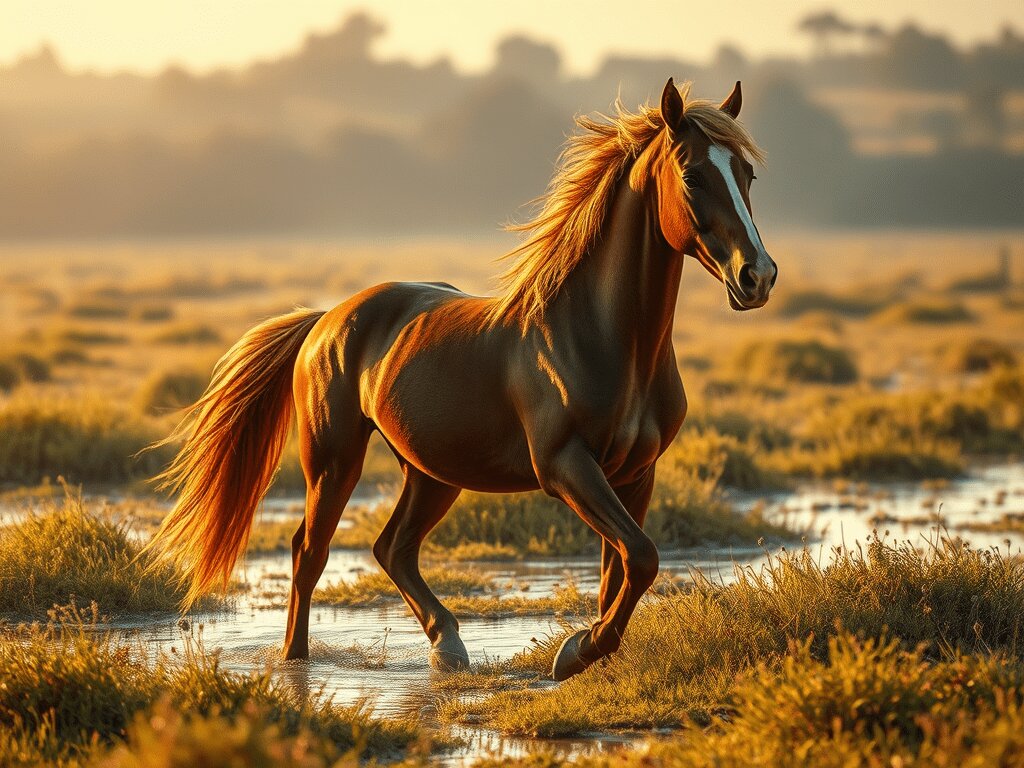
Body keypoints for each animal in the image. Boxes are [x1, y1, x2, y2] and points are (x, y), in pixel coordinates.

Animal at [147, 78, 777, 682]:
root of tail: (325, 320)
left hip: (431, 472)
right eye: (692, 173)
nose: (758, 277)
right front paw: (575, 654)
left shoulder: (635, 474)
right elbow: (641, 558)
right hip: (334, 459)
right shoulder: (566, 467)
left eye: (747, 174)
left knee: (393, 548)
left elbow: (621, 568)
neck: (600, 338)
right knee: (310, 551)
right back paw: (296, 660)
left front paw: (594, 656)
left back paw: (447, 645)